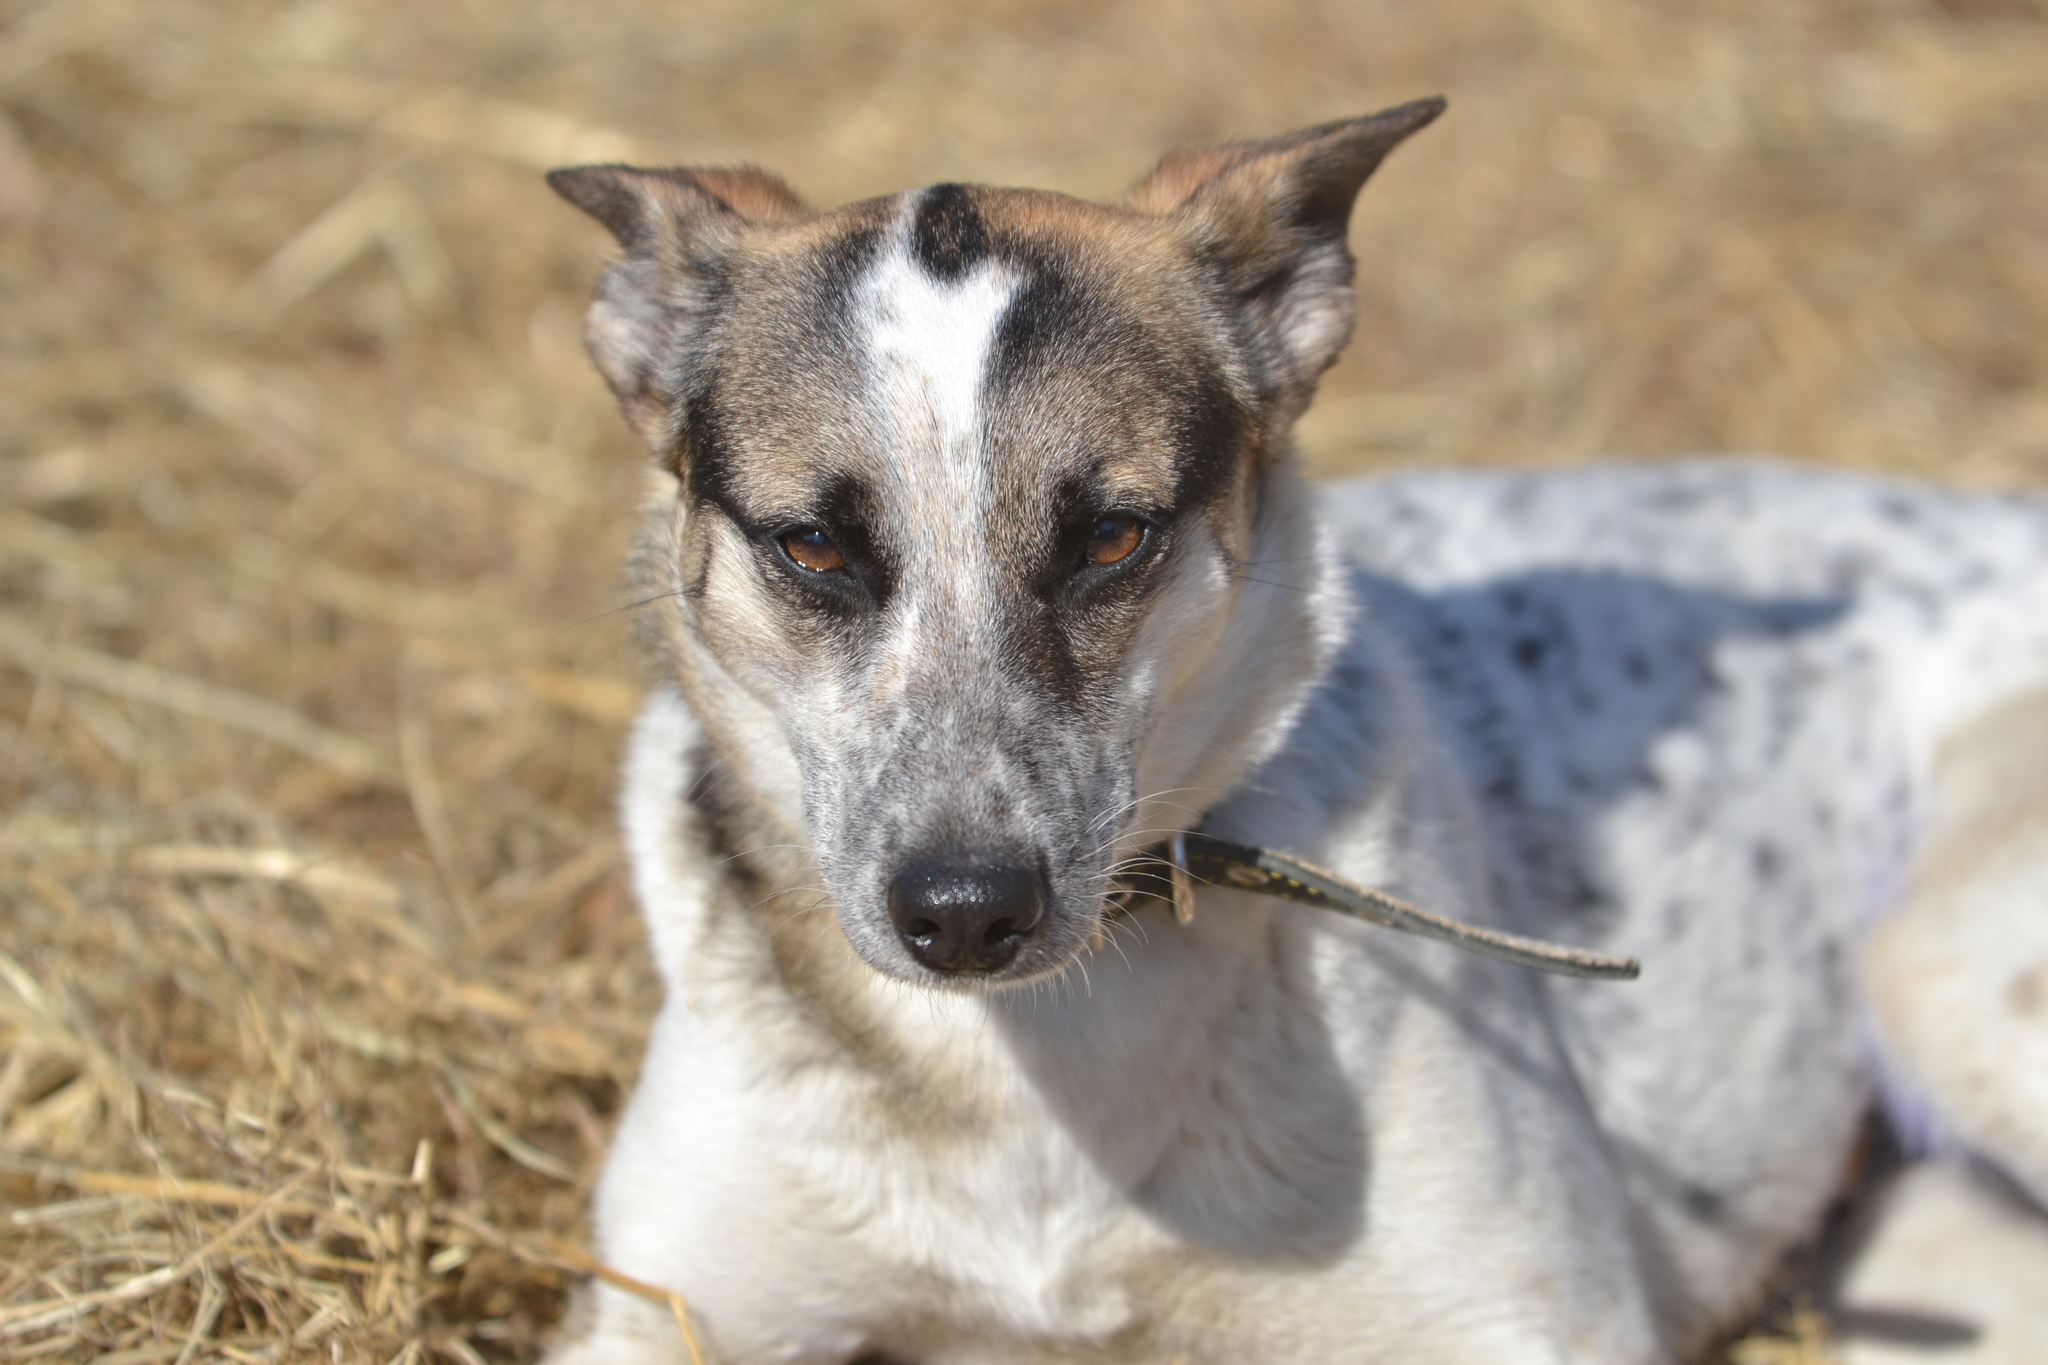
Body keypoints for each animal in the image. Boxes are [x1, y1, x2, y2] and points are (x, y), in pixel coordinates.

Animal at [536, 98, 2048, 1365]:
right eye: (812, 548)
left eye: (1112, 537)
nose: (965, 915)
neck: (1036, 1060)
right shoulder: (662, 1312)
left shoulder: (1523, 1326)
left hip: (1935, 969)